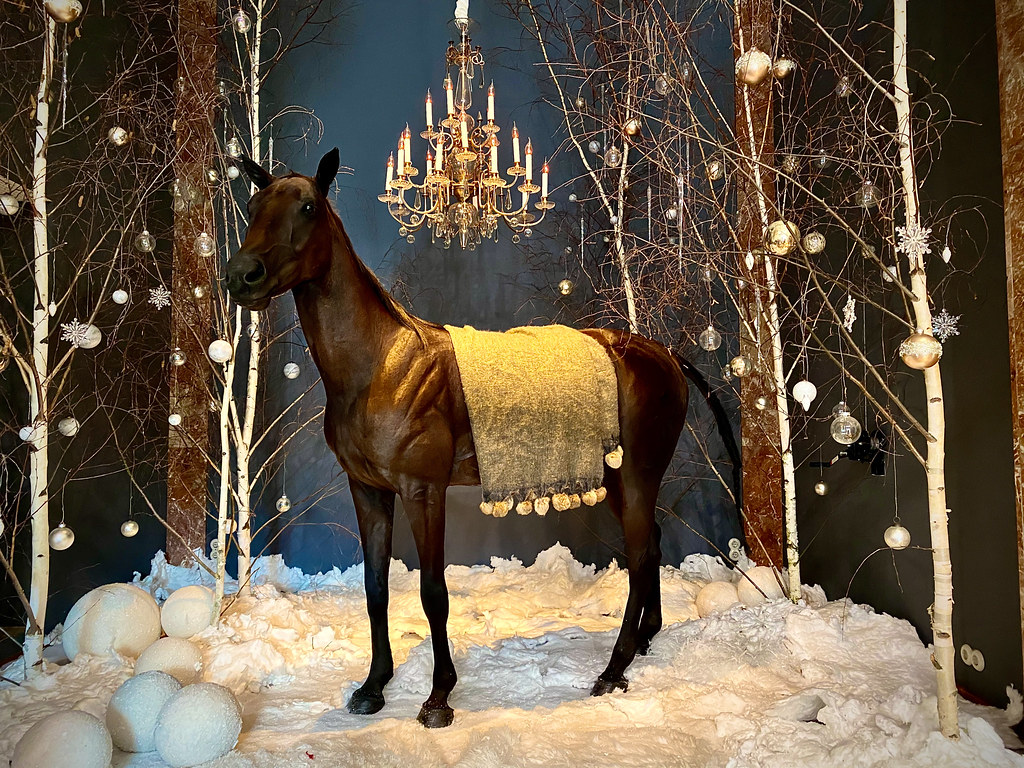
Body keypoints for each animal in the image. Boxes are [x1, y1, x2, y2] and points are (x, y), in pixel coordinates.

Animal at [226, 148, 739, 728]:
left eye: (308, 207)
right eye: (253, 206)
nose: (242, 275)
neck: (383, 364)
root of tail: (666, 354)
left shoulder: (423, 492)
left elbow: (433, 593)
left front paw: (438, 698)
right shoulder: (369, 492)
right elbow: (376, 589)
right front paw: (373, 686)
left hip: (636, 476)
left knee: (639, 555)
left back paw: (614, 669)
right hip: (615, 480)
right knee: (650, 545)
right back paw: (644, 643)